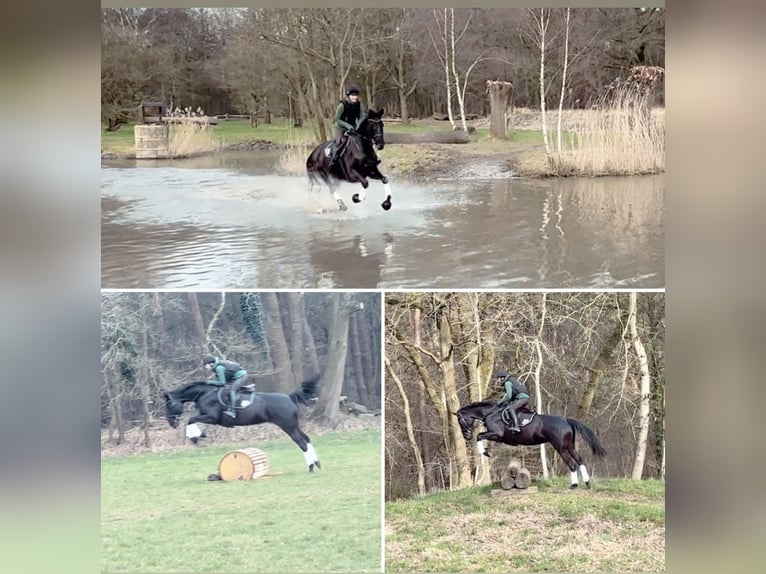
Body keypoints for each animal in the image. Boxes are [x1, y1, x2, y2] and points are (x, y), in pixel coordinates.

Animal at [164, 378, 322, 476]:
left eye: (170, 405)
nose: (171, 423)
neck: (204, 394)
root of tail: (289, 397)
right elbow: (191, 420)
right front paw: (197, 435)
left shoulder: (212, 418)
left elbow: (190, 420)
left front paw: (195, 437)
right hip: (294, 426)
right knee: (307, 439)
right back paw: (317, 463)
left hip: (288, 427)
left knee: (302, 443)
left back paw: (311, 467)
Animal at [460, 400, 608, 490]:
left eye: (460, 421)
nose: (466, 437)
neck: (491, 413)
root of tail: (566, 420)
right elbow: (480, 437)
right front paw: (486, 451)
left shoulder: (497, 434)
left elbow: (479, 436)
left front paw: (486, 452)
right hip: (569, 447)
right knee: (579, 460)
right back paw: (587, 483)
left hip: (561, 448)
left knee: (572, 464)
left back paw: (574, 485)